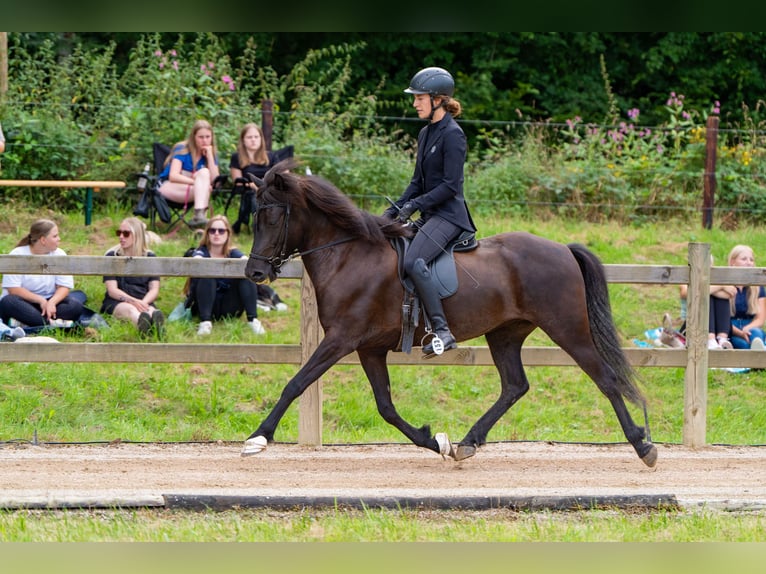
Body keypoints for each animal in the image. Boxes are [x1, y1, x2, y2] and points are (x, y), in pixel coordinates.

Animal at [242, 160, 660, 470]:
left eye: (273, 218)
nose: (255, 273)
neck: (349, 255)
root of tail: (562, 249)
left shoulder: (341, 339)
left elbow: (296, 383)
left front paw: (257, 438)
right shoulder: (368, 348)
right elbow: (386, 407)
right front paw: (435, 441)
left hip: (567, 328)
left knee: (605, 378)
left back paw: (643, 446)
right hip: (505, 333)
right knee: (515, 386)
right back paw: (468, 442)